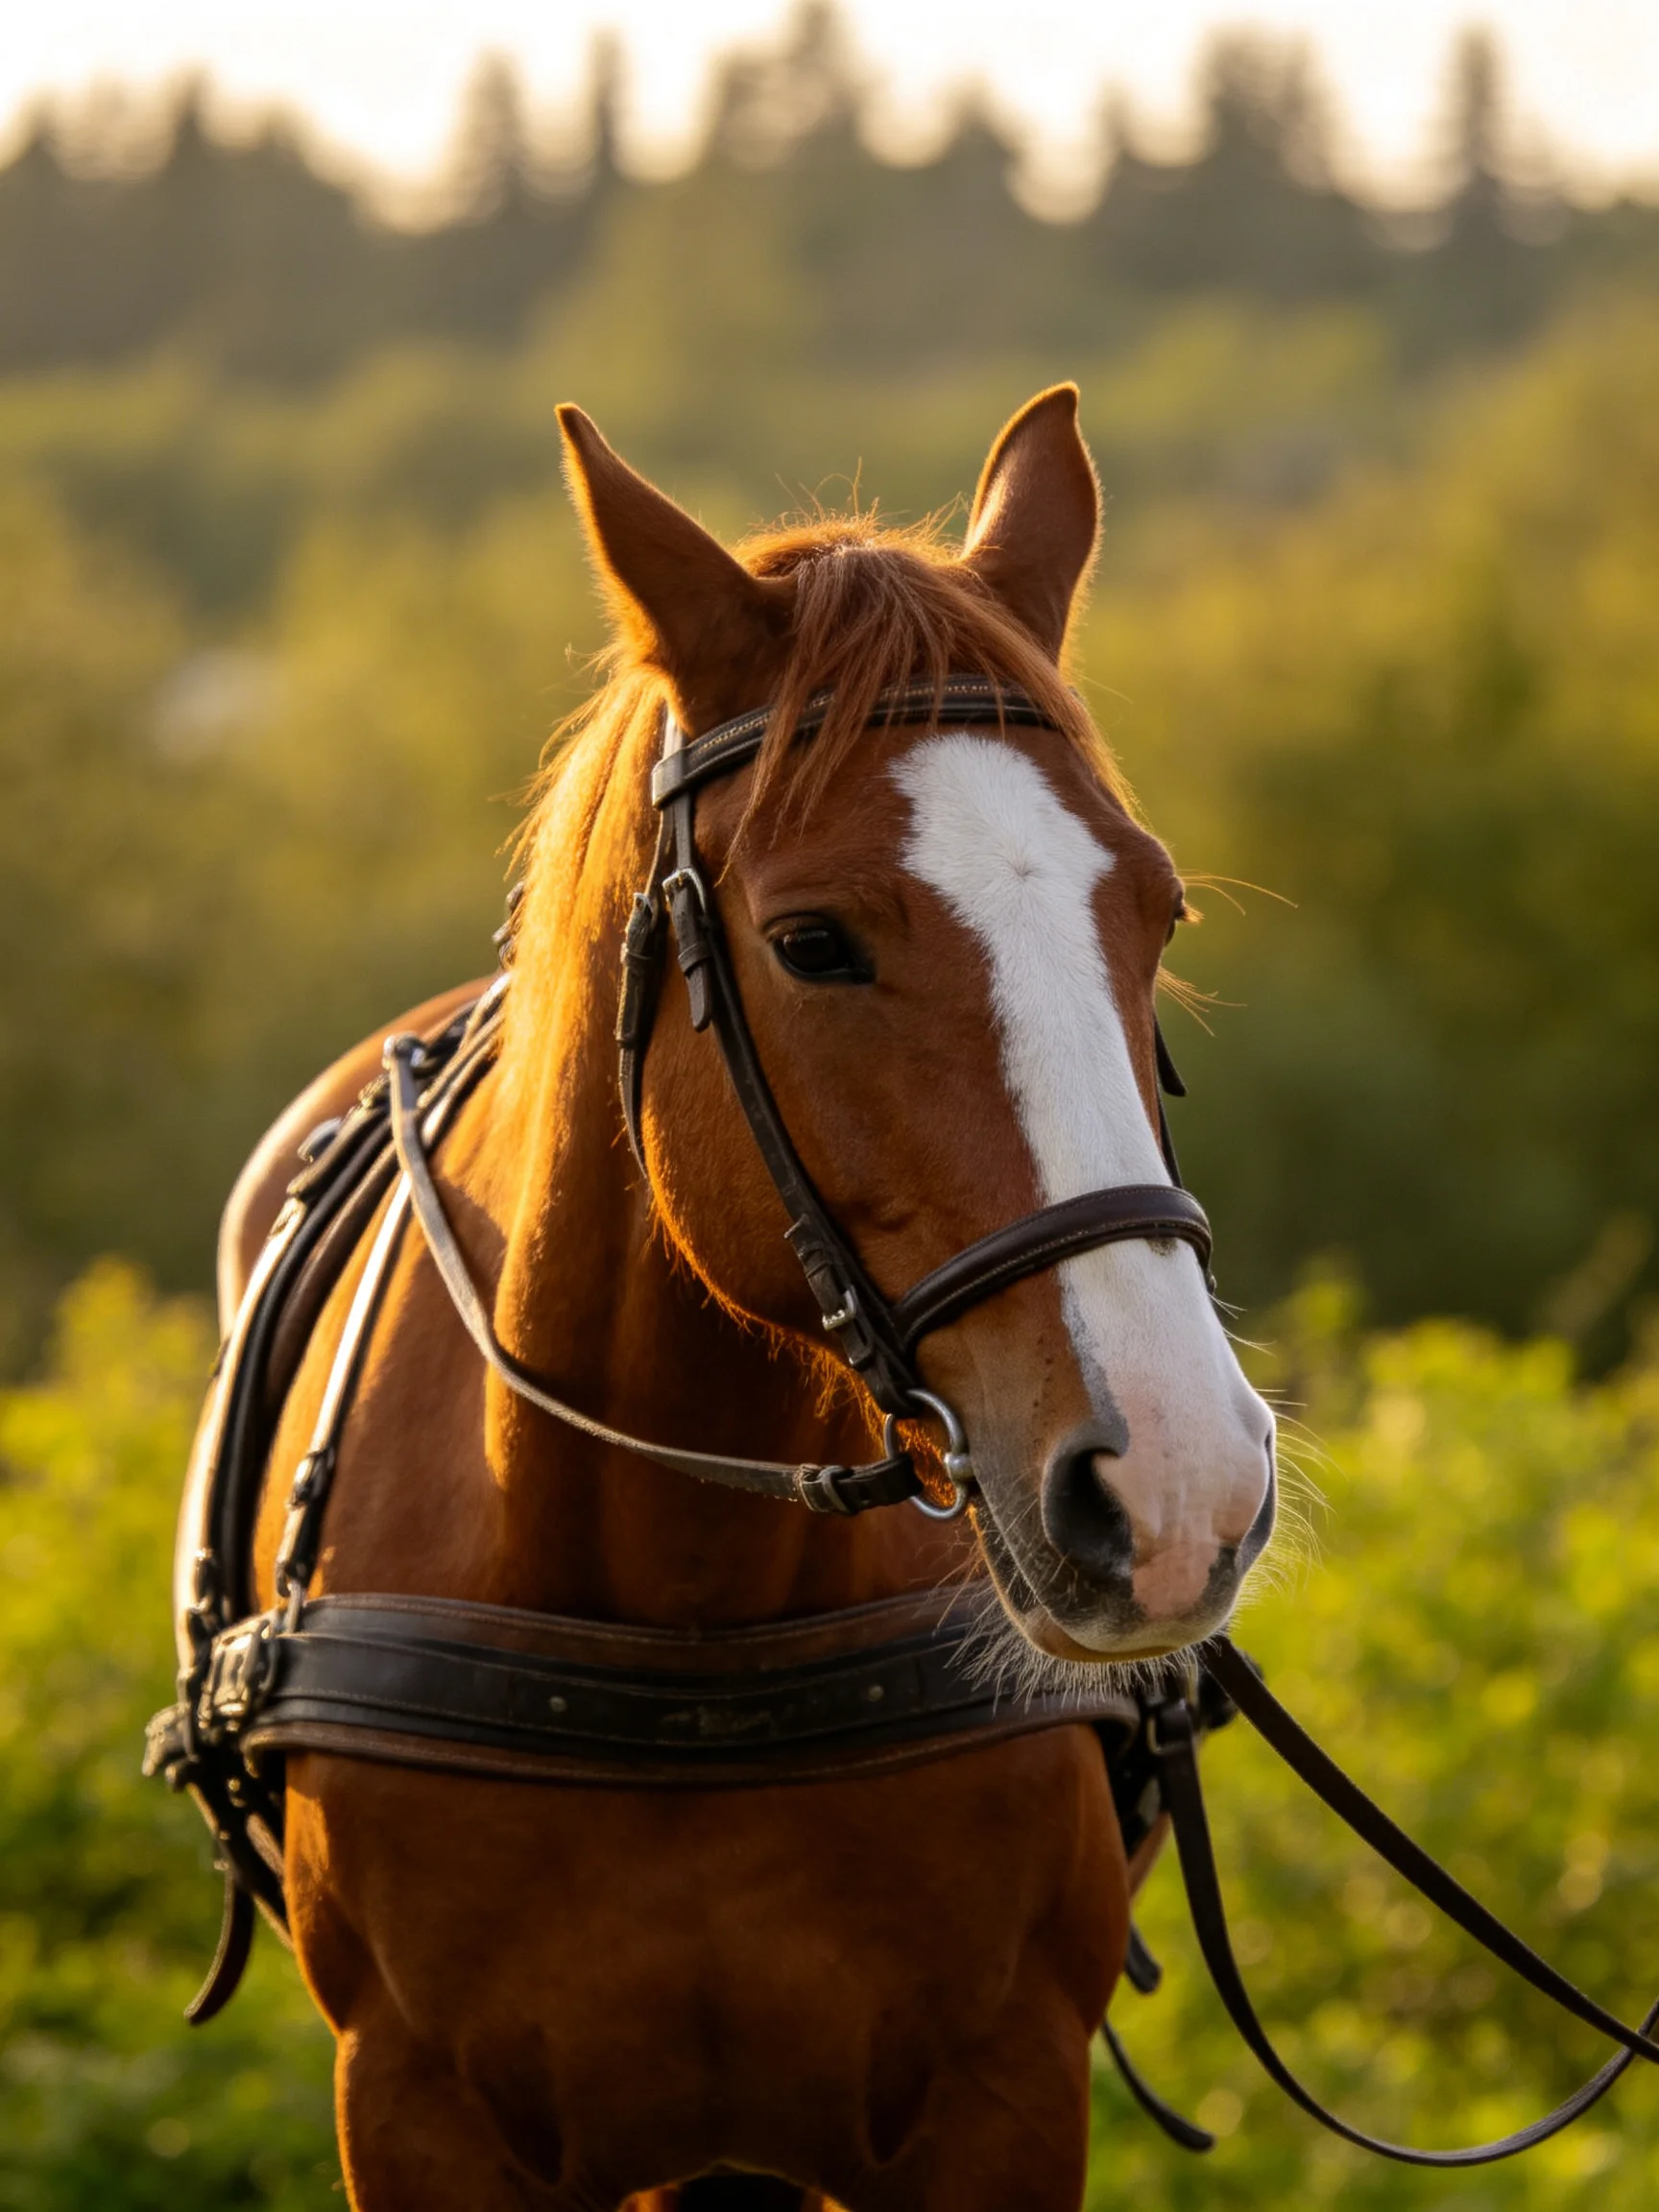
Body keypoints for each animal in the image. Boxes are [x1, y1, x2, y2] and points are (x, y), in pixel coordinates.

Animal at [214, 385, 1276, 2209]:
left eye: (1156, 906)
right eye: (813, 941)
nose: (1173, 1488)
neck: (677, 1604)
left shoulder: (998, 2095)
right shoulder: (413, 2109)